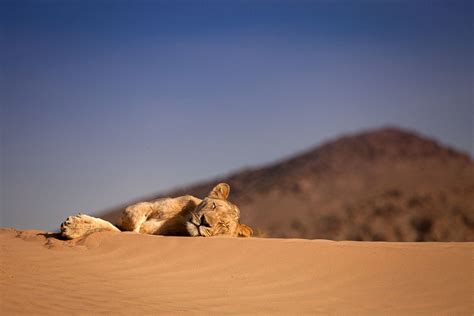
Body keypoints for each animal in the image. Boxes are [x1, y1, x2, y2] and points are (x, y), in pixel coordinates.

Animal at [60, 184, 254, 238]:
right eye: (213, 206)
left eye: (222, 225)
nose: (204, 221)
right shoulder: (152, 204)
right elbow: (132, 218)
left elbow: (115, 230)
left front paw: (74, 226)